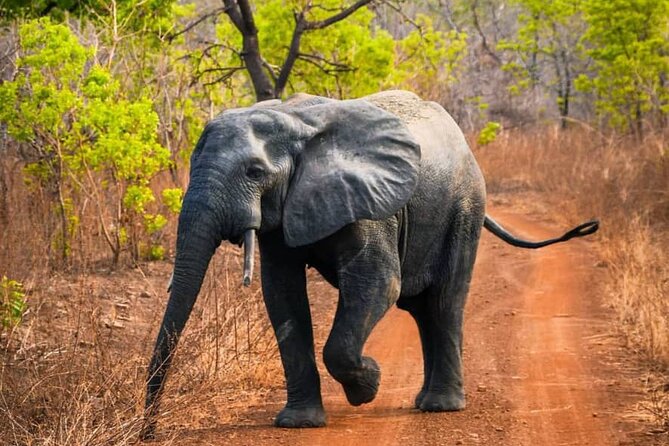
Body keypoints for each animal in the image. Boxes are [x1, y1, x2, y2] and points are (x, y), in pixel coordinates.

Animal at [141, 90, 598, 437]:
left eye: (255, 172)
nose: (148, 431)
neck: (294, 122)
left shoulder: (372, 202)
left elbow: (377, 283)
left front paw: (369, 386)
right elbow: (282, 295)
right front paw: (299, 424)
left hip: (465, 207)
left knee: (445, 302)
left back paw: (441, 407)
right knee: (422, 310)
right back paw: (424, 402)